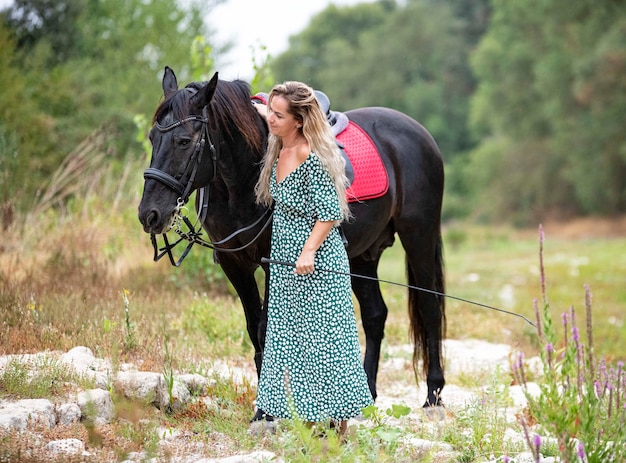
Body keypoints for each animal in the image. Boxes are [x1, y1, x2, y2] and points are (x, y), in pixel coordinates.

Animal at [139, 66, 446, 414]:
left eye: (183, 140)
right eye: (152, 138)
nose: (149, 214)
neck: (243, 179)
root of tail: (419, 133)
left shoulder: (272, 262)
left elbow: (264, 328)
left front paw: (267, 410)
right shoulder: (234, 264)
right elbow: (253, 328)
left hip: (419, 237)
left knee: (430, 307)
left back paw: (433, 394)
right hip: (362, 256)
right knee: (374, 315)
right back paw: (366, 396)